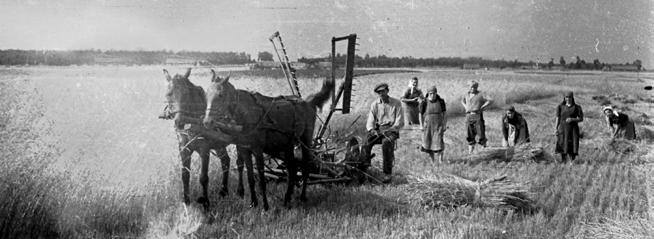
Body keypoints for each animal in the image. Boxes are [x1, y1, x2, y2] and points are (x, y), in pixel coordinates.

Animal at [161, 68, 246, 208]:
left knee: (240, 164)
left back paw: (240, 191)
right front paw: (186, 202)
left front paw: (206, 204)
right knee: (225, 161)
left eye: (187, 93)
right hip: (219, 144)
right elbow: (185, 175)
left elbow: (203, 178)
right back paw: (223, 191)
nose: (179, 121)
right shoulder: (184, 148)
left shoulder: (204, 149)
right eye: (168, 94)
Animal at [202, 69, 334, 209]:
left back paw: (302, 197)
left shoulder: (258, 150)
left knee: (305, 167)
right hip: (288, 145)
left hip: (306, 140)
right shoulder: (245, 149)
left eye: (221, 95)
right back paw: (287, 199)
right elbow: (250, 178)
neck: (247, 114)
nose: (207, 122)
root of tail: (308, 101)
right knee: (292, 169)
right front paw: (253, 203)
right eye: (206, 94)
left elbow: (261, 179)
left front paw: (265, 206)